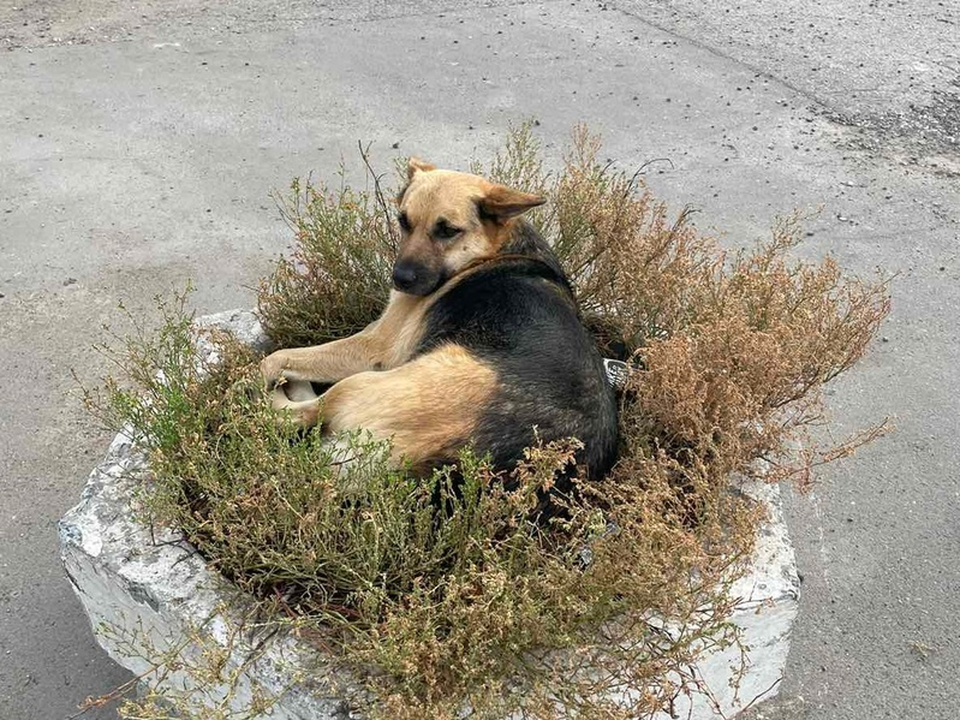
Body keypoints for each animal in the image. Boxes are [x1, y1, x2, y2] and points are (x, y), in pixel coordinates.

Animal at [260, 158, 624, 490]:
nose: (400, 279)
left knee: (294, 415)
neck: (491, 251)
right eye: (403, 221)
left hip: (359, 384)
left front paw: (258, 376)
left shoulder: (373, 349)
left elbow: (274, 359)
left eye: (447, 230)